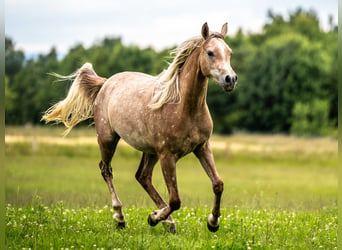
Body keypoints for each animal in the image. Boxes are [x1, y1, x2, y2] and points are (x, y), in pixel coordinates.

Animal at [42, 22, 238, 233]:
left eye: (229, 52)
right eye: (210, 52)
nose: (230, 79)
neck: (185, 107)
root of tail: (105, 83)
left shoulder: (202, 147)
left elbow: (218, 184)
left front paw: (213, 222)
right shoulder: (167, 155)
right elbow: (175, 200)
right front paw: (153, 218)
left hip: (150, 151)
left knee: (142, 176)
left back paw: (166, 221)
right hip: (108, 140)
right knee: (106, 170)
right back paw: (121, 217)